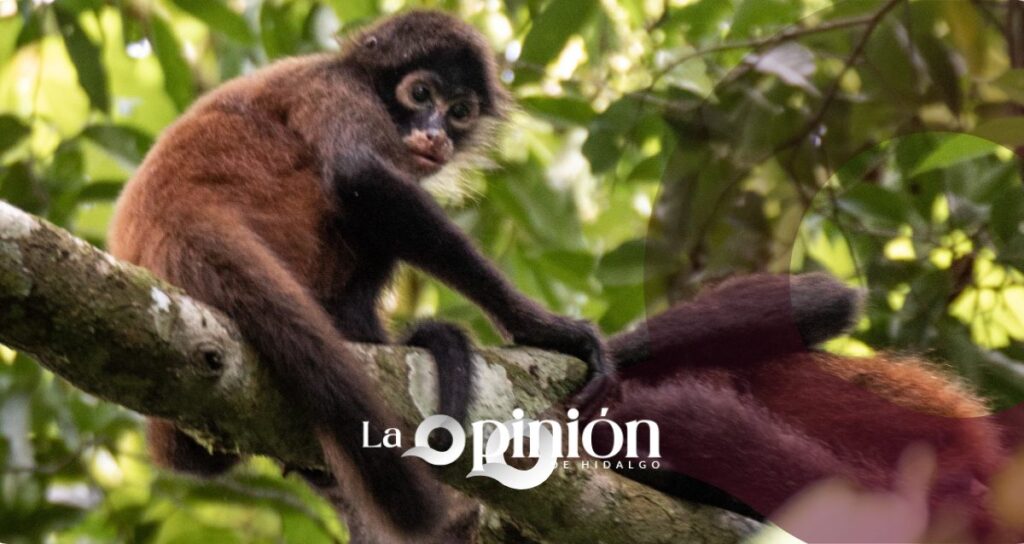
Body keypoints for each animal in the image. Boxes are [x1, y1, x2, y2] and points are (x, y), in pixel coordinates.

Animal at [108, 10, 611, 540]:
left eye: (459, 111)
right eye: (421, 94)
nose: (437, 135)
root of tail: (171, 218)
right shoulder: (338, 89)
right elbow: (359, 177)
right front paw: (543, 328)